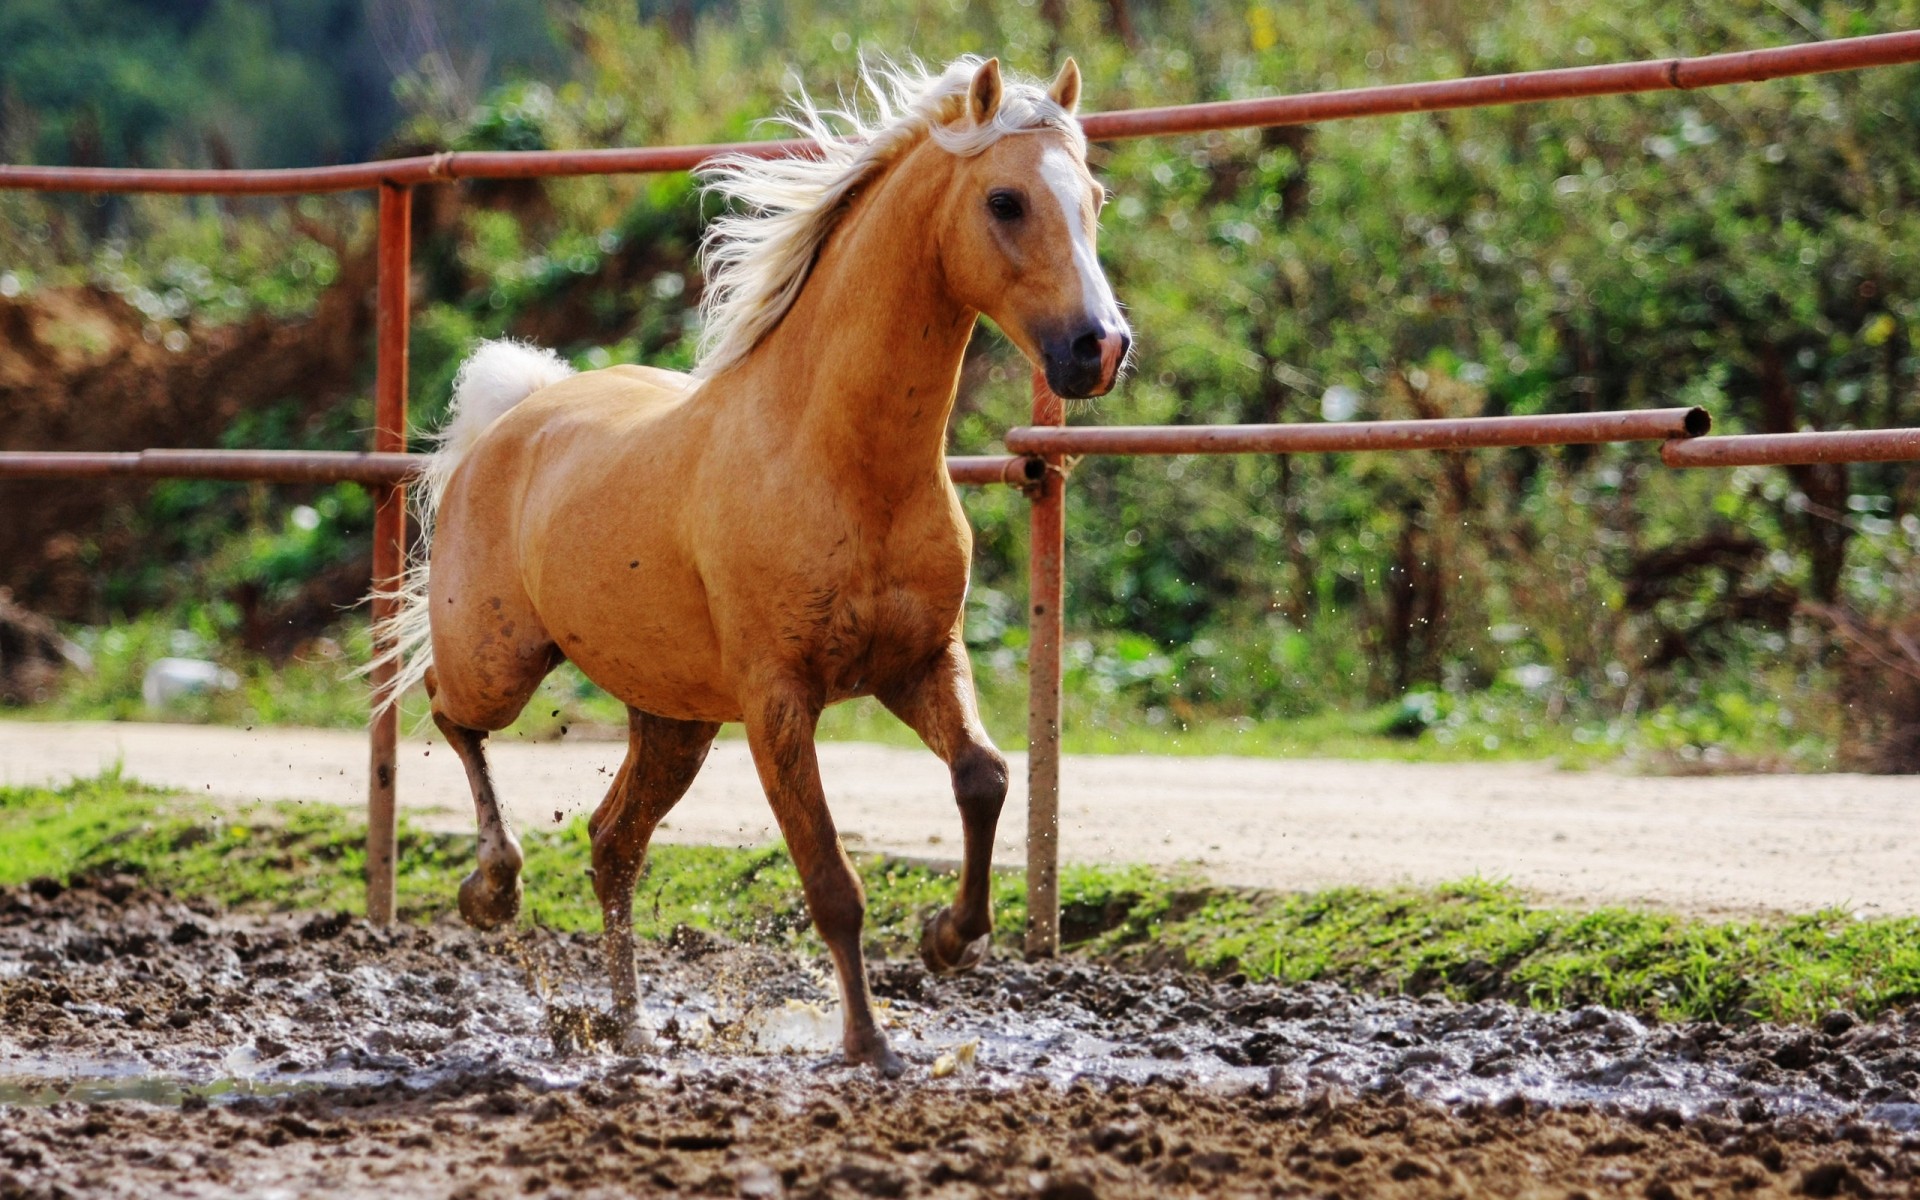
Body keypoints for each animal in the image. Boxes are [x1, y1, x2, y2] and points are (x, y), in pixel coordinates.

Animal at [368, 53, 1128, 1075]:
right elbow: (832, 880)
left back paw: (631, 1028)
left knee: (612, 844)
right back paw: (494, 888)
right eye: (1005, 200)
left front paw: (948, 939)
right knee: (452, 713)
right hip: (502, 661)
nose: (1100, 348)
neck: (842, 461)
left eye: (1092, 197)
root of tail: (515, 414)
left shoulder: (922, 661)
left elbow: (986, 775)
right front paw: (868, 1044)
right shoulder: (778, 700)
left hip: (675, 719)